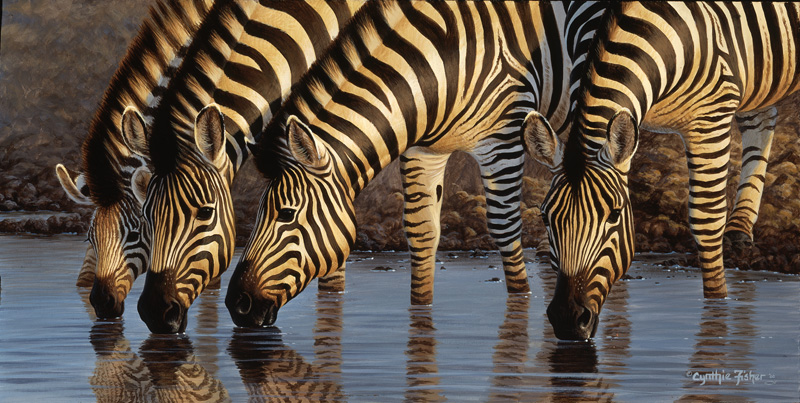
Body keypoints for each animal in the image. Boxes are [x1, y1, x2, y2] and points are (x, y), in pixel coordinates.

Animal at [524, 1, 800, 340]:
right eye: (545, 217)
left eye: (614, 215)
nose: (567, 320)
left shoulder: (710, 116)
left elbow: (706, 220)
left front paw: (717, 307)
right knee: (761, 115)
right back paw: (739, 225)